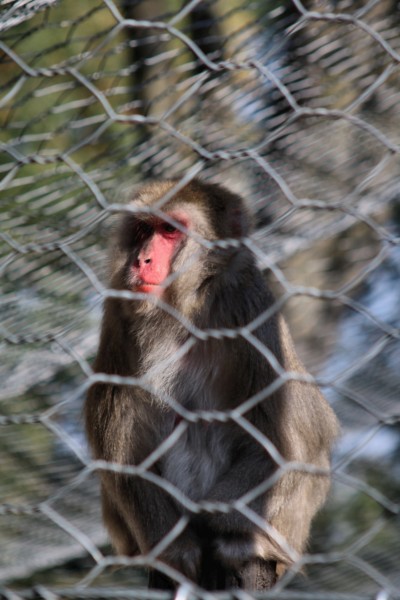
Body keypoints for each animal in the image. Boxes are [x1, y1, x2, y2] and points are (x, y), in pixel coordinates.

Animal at [84, 179, 338, 592]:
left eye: (170, 230)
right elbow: (122, 453)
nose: (141, 261)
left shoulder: (250, 309)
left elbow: (296, 441)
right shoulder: (118, 318)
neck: (186, 308)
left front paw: (217, 524)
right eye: (142, 230)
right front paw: (178, 547)